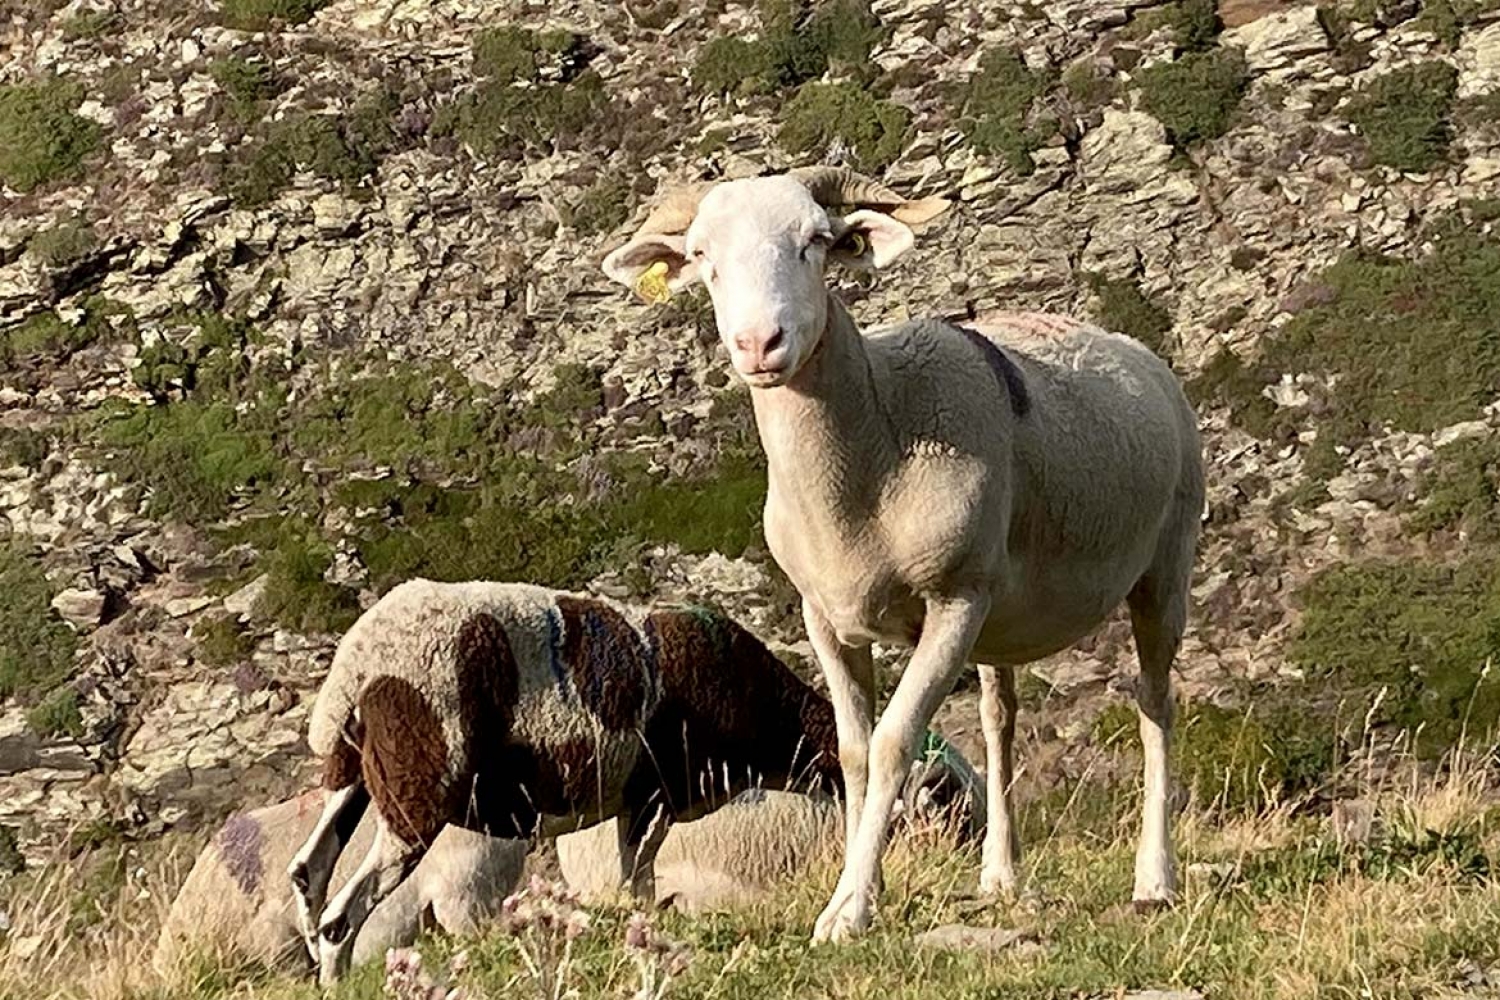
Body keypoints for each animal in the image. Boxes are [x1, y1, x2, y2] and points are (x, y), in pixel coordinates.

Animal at [291, 581, 972, 983]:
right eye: (946, 794)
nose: (965, 850)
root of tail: (357, 664)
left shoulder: (636, 801)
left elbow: (632, 881)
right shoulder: (656, 794)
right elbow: (639, 883)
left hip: (358, 777)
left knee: (309, 871)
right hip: (421, 777)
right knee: (342, 913)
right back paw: (339, 975)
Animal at [603, 167, 1200, 941]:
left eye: (816, 240)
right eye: (703, 254)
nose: (759, 343)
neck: (875, 450)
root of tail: (1135, 351)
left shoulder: (953, 601)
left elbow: (894, 743)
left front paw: (848, 908)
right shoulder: (825, 617)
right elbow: (855, 753)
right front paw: (867, 887)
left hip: (1164, 565)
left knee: (1155, 705)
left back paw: (1155, 879)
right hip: (1000, 617)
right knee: (1000, 719)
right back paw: (1001, 875)